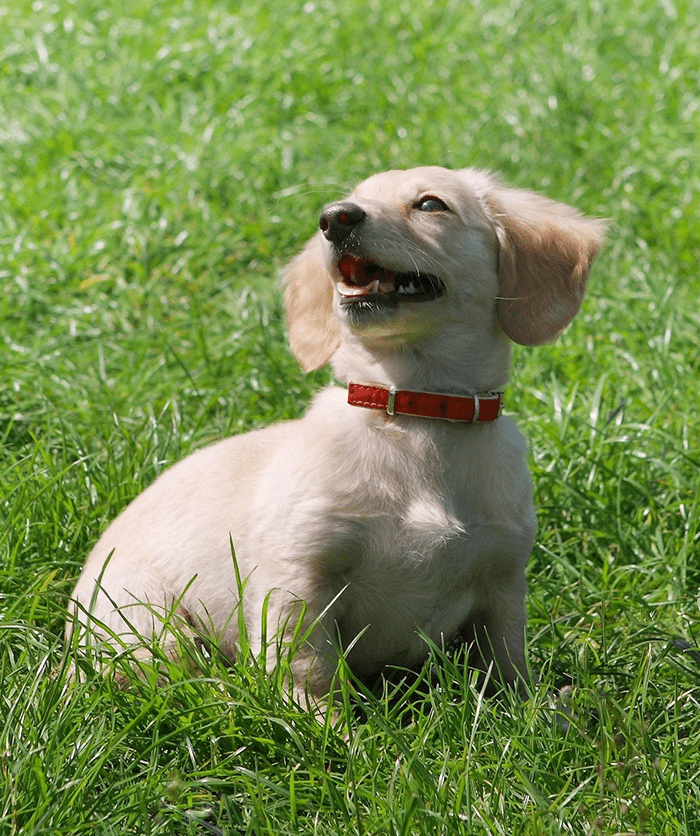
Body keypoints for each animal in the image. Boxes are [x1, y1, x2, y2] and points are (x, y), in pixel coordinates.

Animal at [67, 167, 608, 708]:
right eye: (351, 198)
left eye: (431, 204)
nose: (334, 218)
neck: (413, 412)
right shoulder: (300, 577)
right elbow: (309, 668)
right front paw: (323, 724)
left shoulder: (502, 582)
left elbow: (507, 665)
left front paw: (534, 711)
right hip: (147, 620)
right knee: (170, 676)